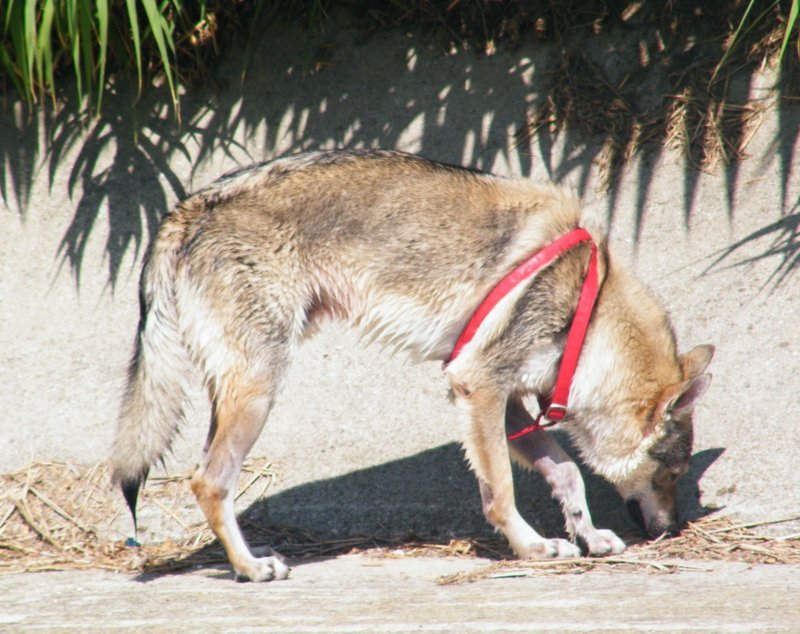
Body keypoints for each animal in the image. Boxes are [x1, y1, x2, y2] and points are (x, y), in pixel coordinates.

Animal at [112, 149, 713, 582]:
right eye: (672, 474)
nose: (672, 531)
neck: (586, 309)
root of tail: (189, 206)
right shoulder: (480, 390)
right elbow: (501, 492)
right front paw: (533, 547)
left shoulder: (506, 403)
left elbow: (567, 473)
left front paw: (589, 538)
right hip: (259, 393)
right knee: (209, 482)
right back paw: (251, 568)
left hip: (236, 395)